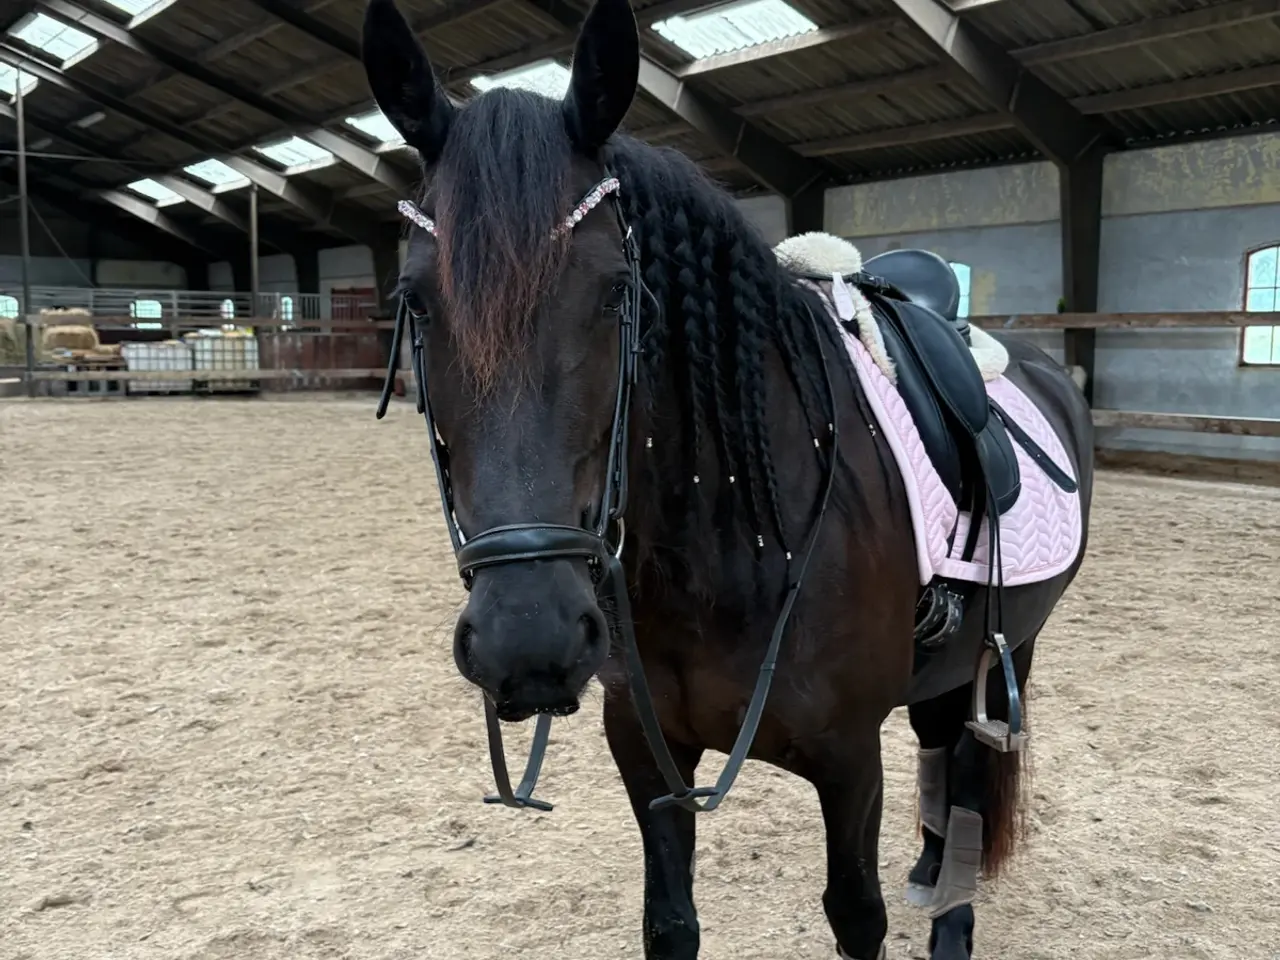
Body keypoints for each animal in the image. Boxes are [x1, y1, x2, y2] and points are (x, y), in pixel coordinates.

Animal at [361, 0, 1095, 956]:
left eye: (617, 292)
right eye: (413, 299)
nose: (529, 638)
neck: (734, 543)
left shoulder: (850, 759)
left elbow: (856, 916)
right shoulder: (646, 750)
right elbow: (671, 922)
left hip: (1004, 654)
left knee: (968, 776)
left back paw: (952, 918)